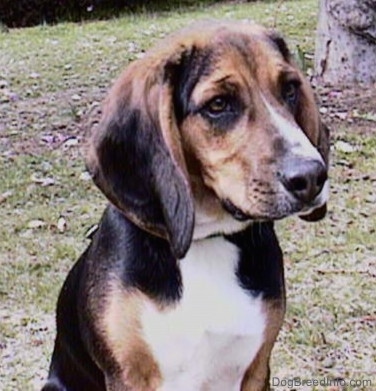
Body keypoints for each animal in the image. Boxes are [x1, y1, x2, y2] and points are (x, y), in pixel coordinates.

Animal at [41, 20, 328, 391]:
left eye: (290, 88)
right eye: (218, 104)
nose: (312, 176)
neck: (206, 241)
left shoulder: (256, 370)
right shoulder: (130, 377)